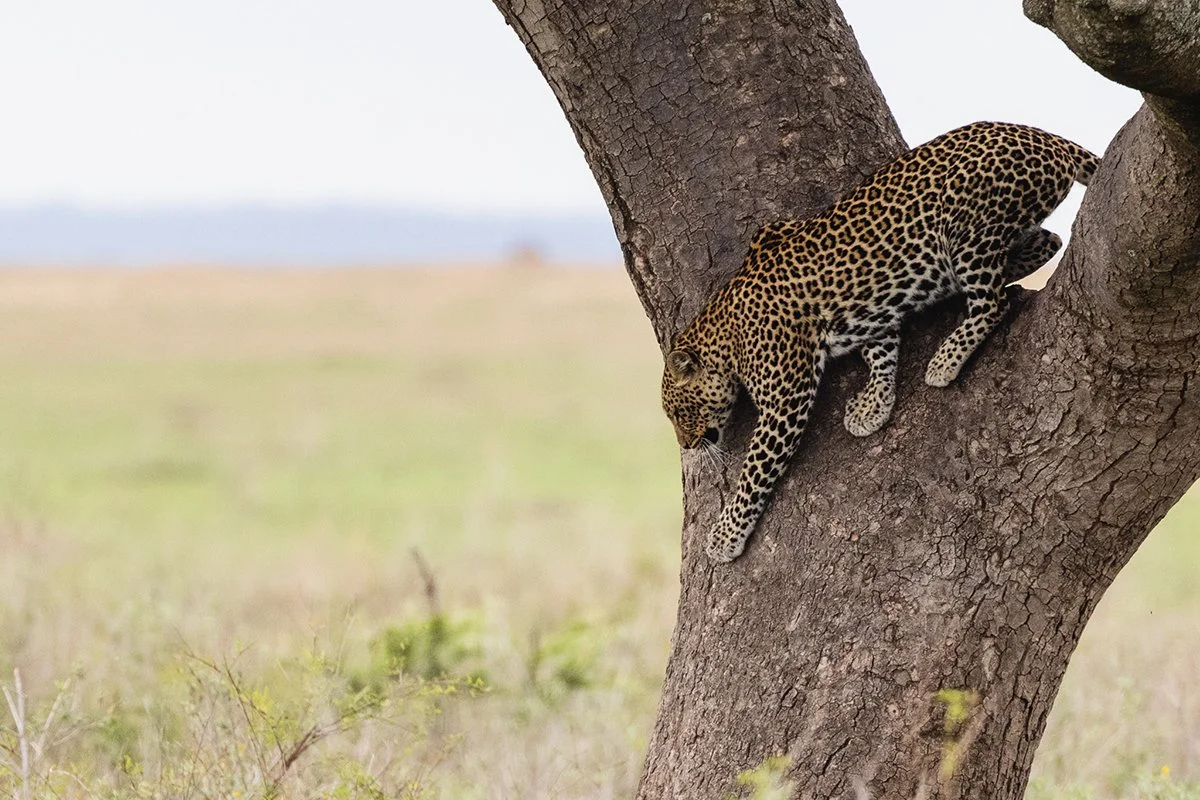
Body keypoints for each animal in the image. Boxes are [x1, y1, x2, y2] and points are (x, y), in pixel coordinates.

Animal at [661, 121, 1099, 563]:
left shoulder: (786, 401)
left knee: (995, 301)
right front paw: (874, 405)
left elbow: (754, 472)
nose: (686, 445)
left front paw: (725, 535)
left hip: (969, 227)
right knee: (1050, 241)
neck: (724, 332)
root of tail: (1041, 136)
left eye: (680, 413)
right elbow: (880, 350)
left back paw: (946, 359)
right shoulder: (855, 300)